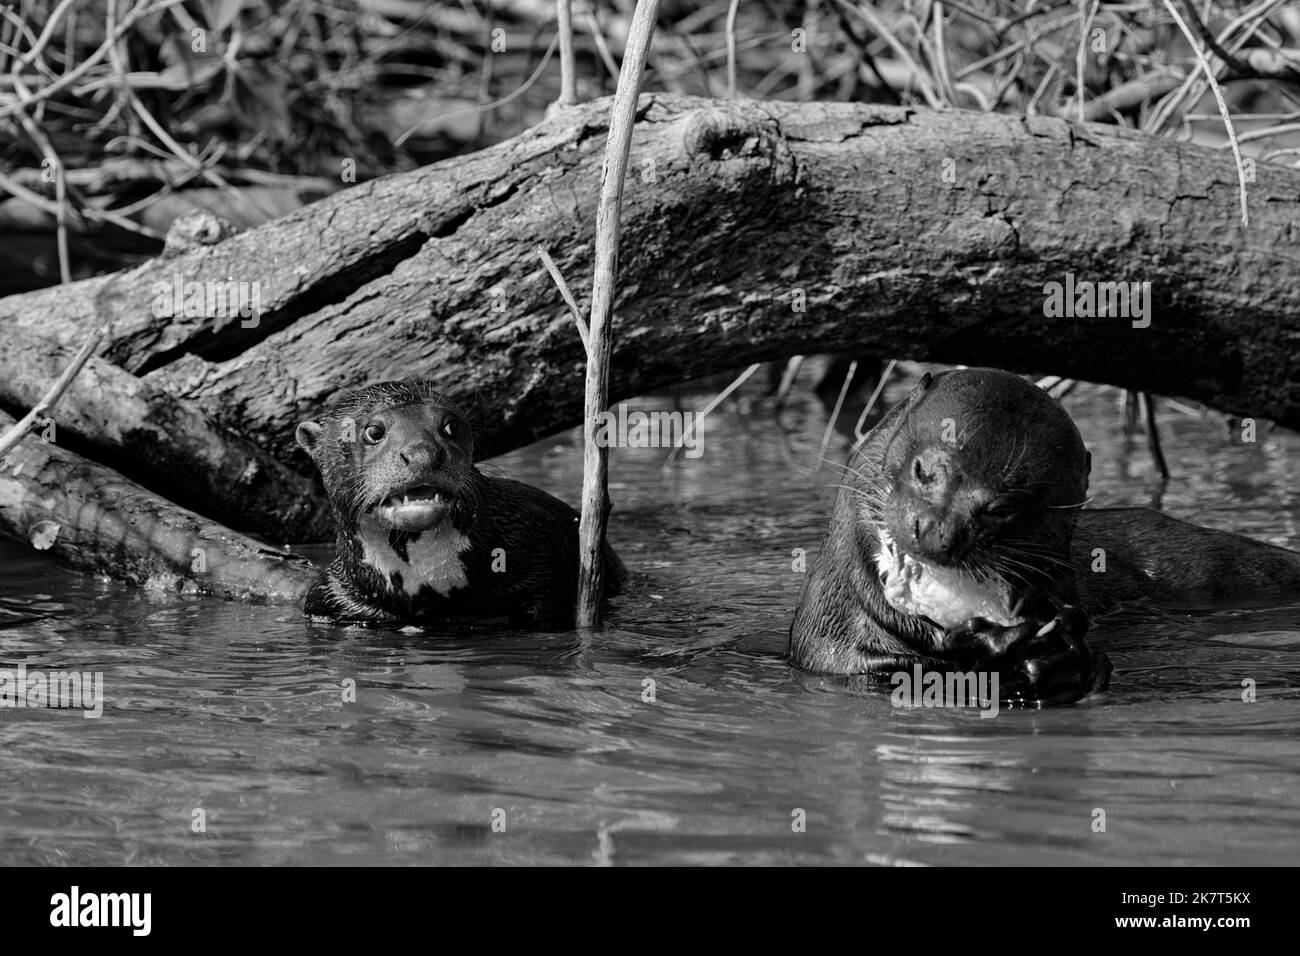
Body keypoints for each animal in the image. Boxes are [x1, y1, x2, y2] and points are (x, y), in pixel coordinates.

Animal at [296, 381, 625, 628]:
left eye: (449, 426)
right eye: (373, 431)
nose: (423, 452)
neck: (429, 587)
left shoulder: (545, 560)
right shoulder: (332, 597)